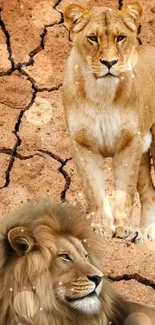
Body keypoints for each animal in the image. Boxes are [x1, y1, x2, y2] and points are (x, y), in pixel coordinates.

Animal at [62, 1, 155, 242]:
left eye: (120, 37)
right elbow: (93, 190)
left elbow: (125, 191)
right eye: (92, 38)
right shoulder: (82, 144)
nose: (110, 62)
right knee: (149, 191)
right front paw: (101, 227)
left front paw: (123, 229)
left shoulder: (129, 142)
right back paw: (145, 232)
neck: (101, 95)